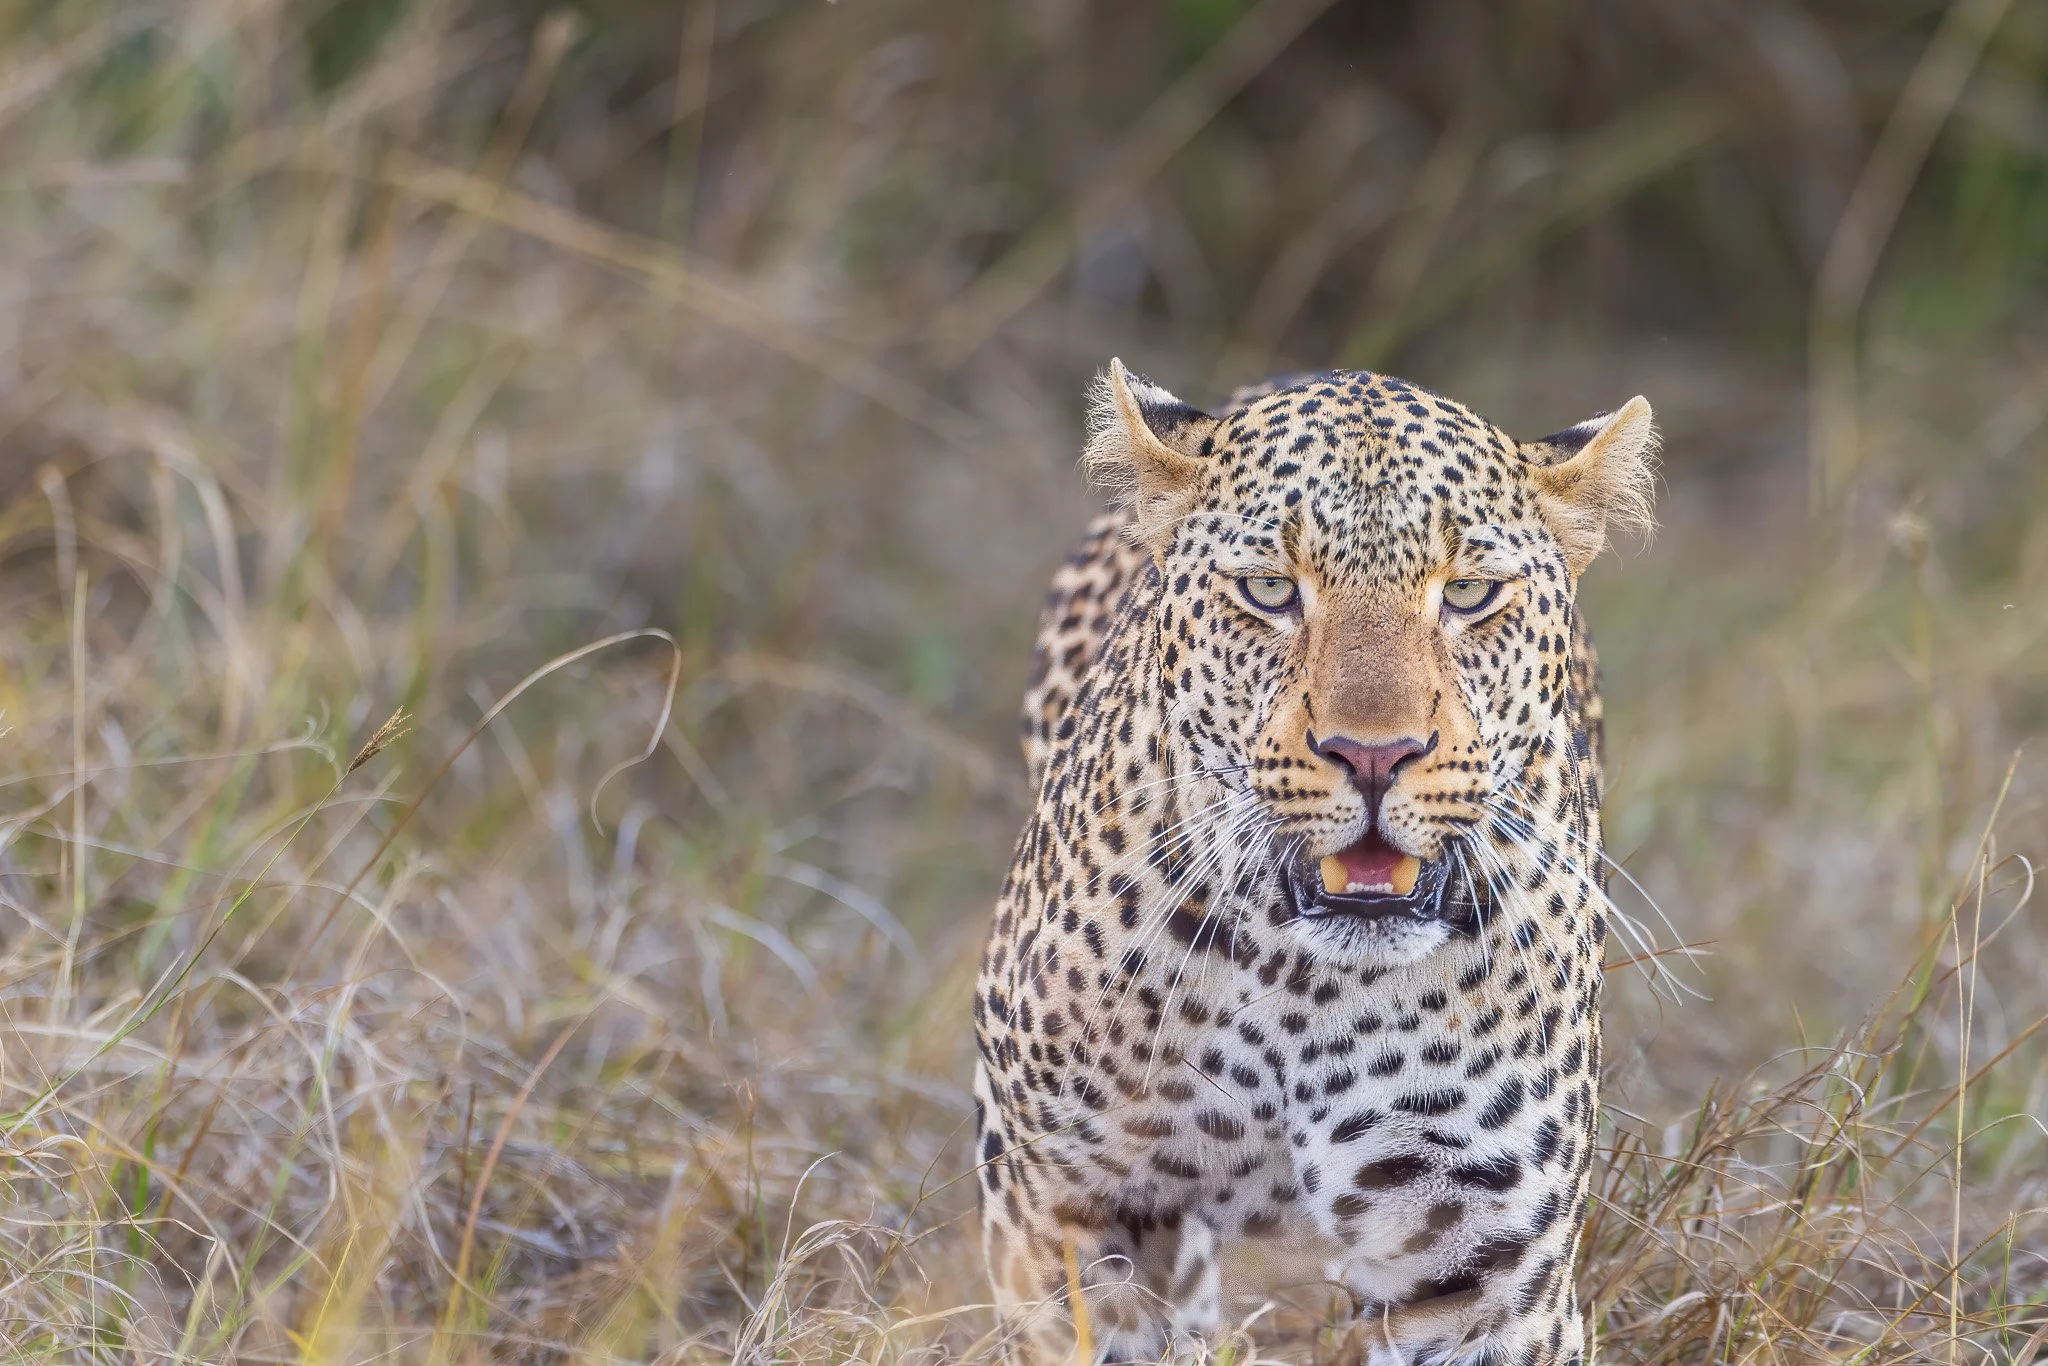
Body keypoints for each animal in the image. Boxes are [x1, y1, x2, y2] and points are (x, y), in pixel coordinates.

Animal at [973, 360, 1655, 1365]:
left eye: (1467, 595)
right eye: (1269, 589)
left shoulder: (1483, 1269)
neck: (1296, 988)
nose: (1374, 755)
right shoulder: (1062, 1212)